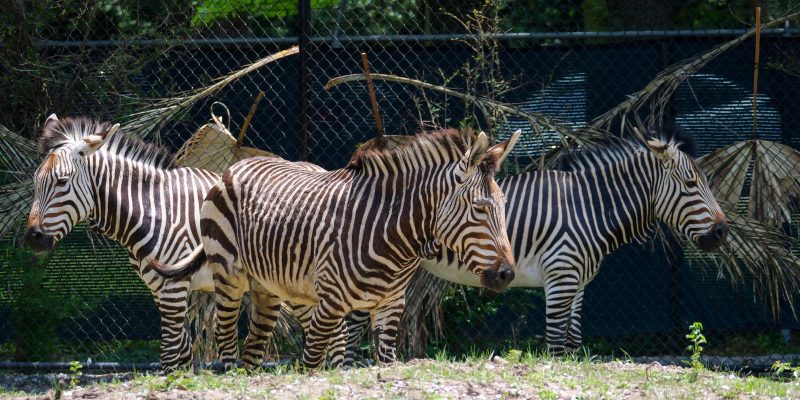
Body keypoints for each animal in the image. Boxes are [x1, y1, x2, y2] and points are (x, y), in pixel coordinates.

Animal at [150, 128, 521, 369]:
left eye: (504, 205)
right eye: (480, 208)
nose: (506, 275)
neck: (392, 238)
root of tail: (235, 166)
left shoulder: (391, 306)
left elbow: (383, 365)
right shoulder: (330, 304)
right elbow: (313, 364)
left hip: (268, 288)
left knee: (252, 350)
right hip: (228, 277)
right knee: (226, 341)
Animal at [338, 133, 729, 358]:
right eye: (692, 184)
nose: (723, 233)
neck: (589, 209)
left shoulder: (578, 285)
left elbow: (572, 345)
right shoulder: (560, 279)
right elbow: (555, 346)